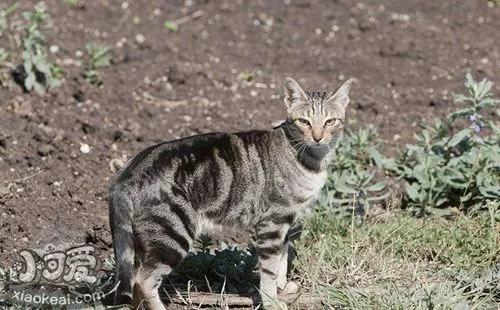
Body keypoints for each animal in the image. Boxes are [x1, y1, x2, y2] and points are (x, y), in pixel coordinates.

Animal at [108, 77, 354, 310]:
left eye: (330, 121)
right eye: (304, 121)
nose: (317, 137)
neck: (312, 160)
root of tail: (125, 174)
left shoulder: (286, 222)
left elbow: (282, 257)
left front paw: (282, 287)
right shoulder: (273, 222)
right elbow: (269, 269)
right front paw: (272, 301)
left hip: (143, 240)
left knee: (134, 278)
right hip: (173, 233)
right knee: (144, 280)